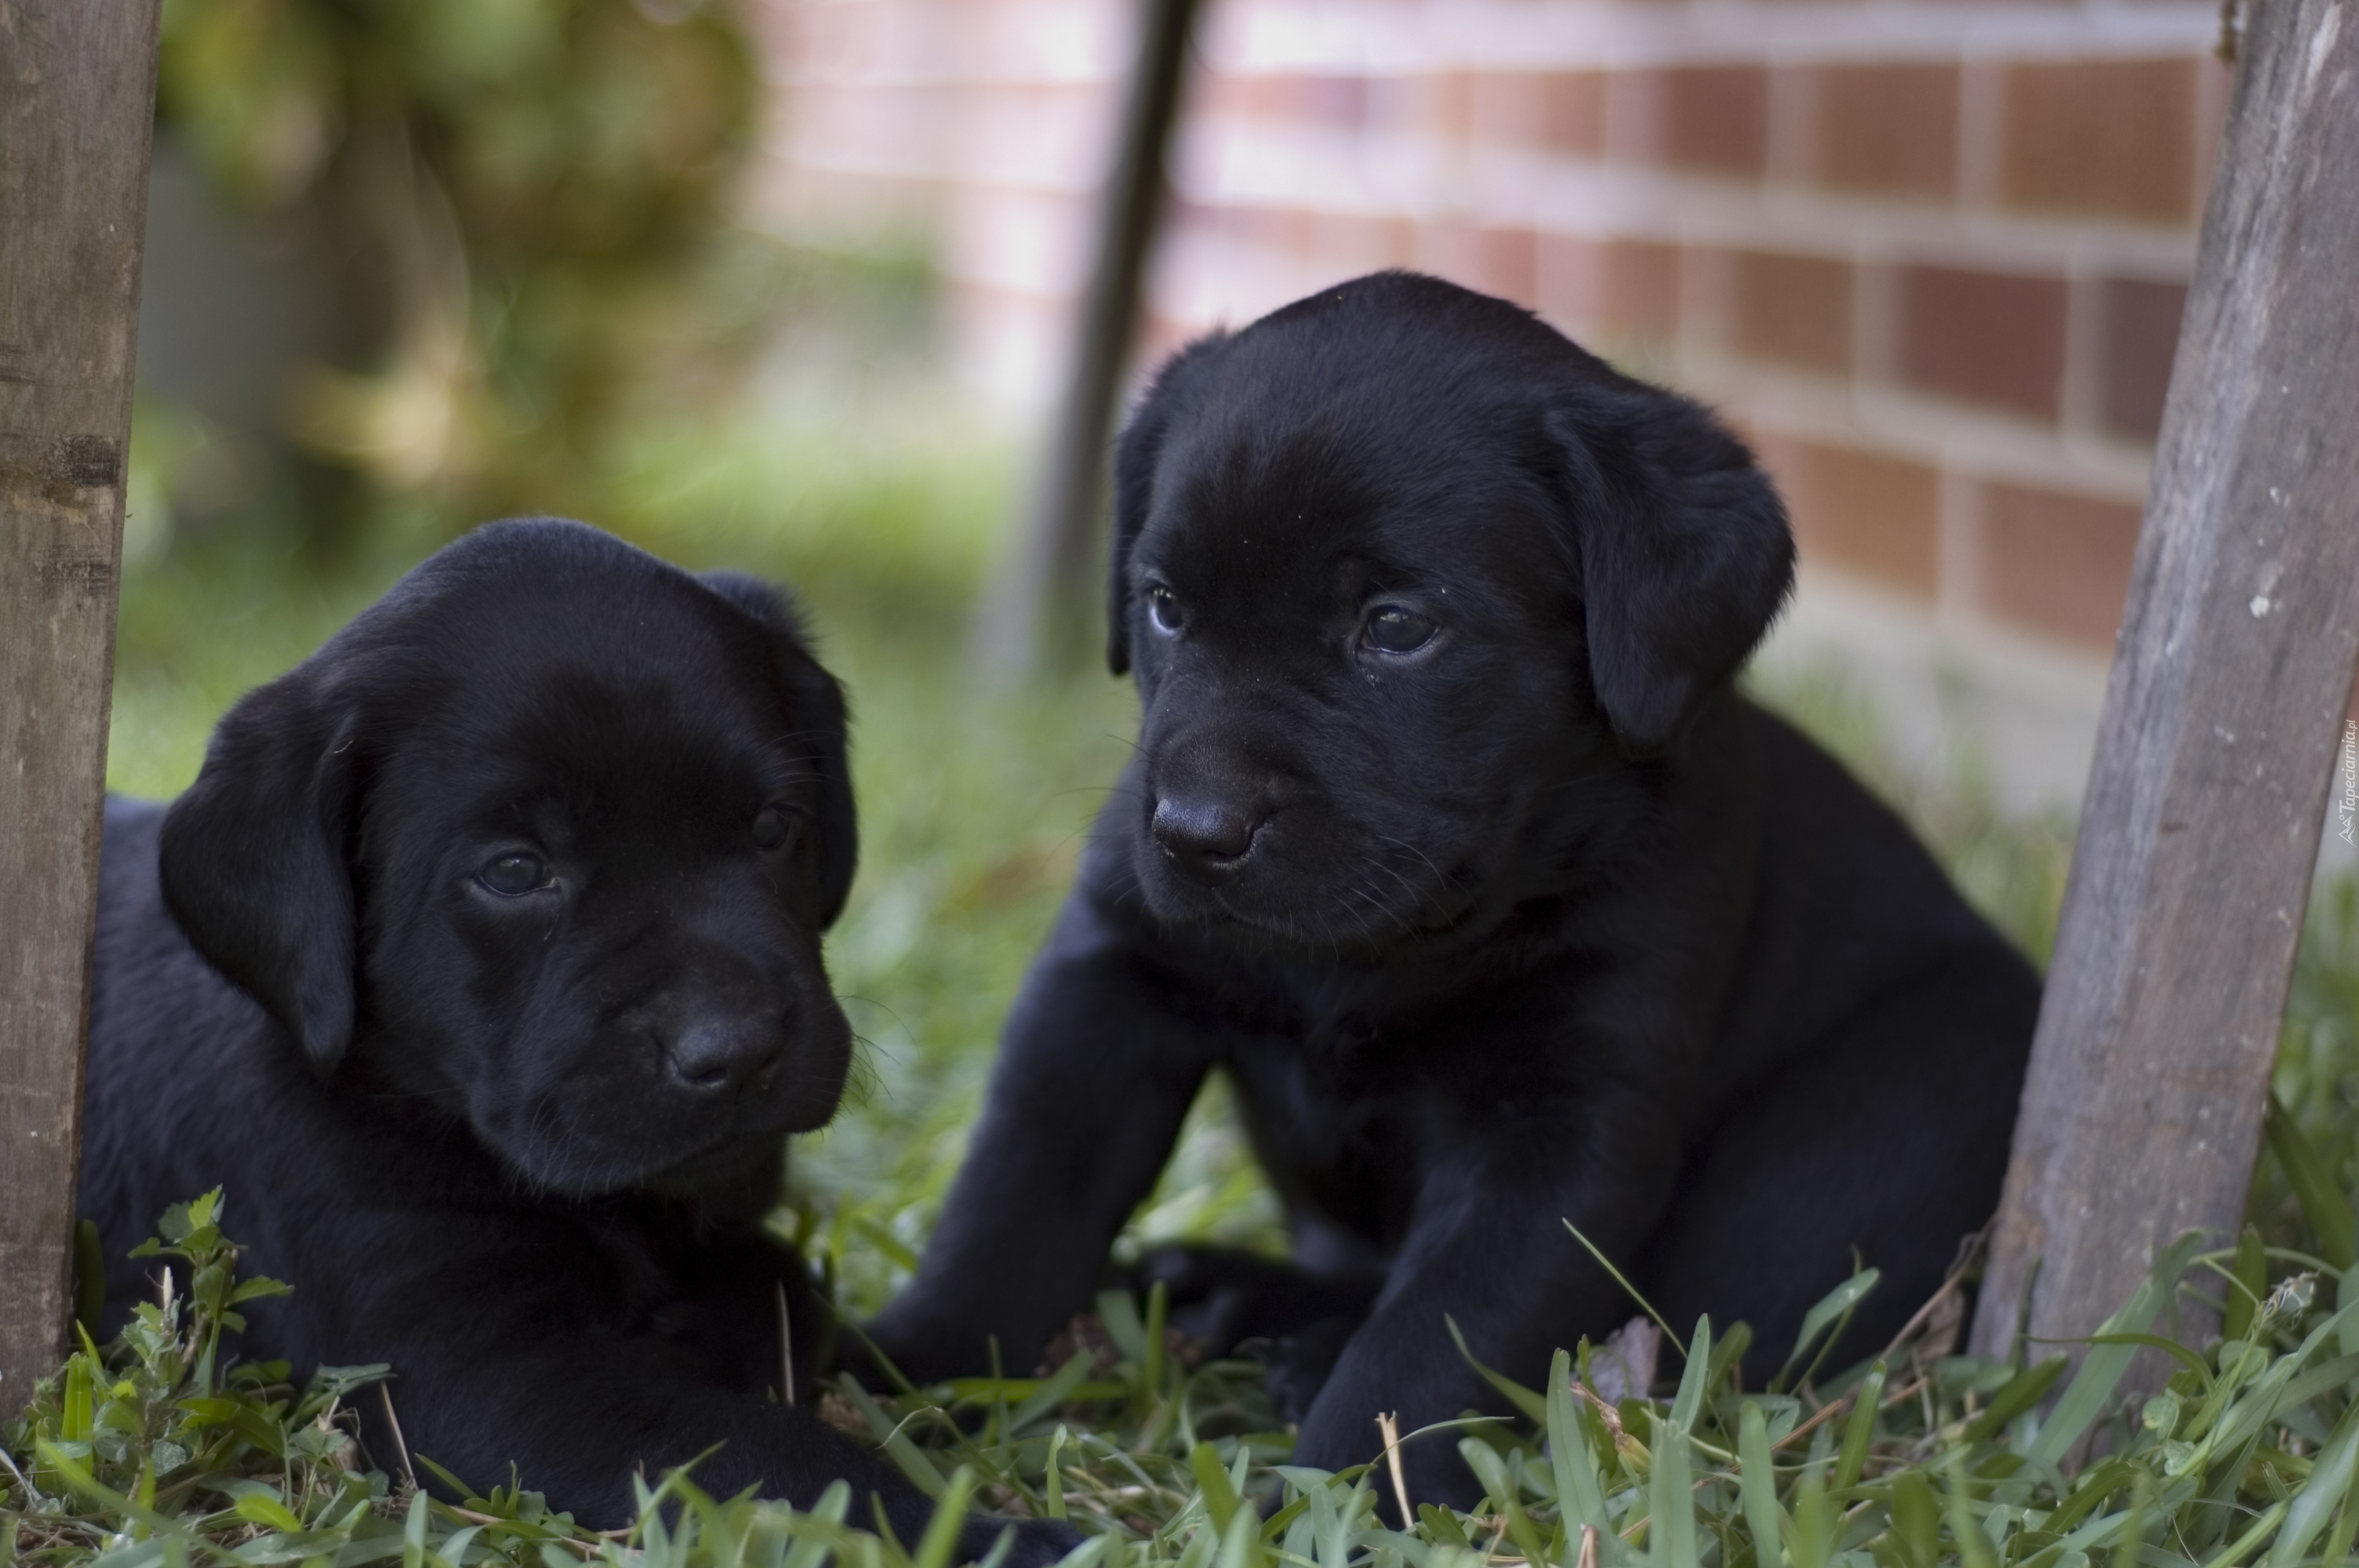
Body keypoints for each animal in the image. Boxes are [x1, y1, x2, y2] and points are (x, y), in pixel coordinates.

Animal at [83, 516, 1075, 1565]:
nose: (736, 1048)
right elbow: (776, 1455)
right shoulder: (465, 1371)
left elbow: (801, 1305)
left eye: (773, 824)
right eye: (516, 871)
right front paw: (1000, 1537)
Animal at [877, 274, 2037, 1499]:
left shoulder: (1561, 1123)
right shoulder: (1108, 980)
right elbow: (1012, 1203)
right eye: (1164, 605)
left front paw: (1340, 1495)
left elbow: (1435, 1338)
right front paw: (898, 1369)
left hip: (1873, 1123)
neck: (1382, 951)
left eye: (1395, 627)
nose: (1194, 832)